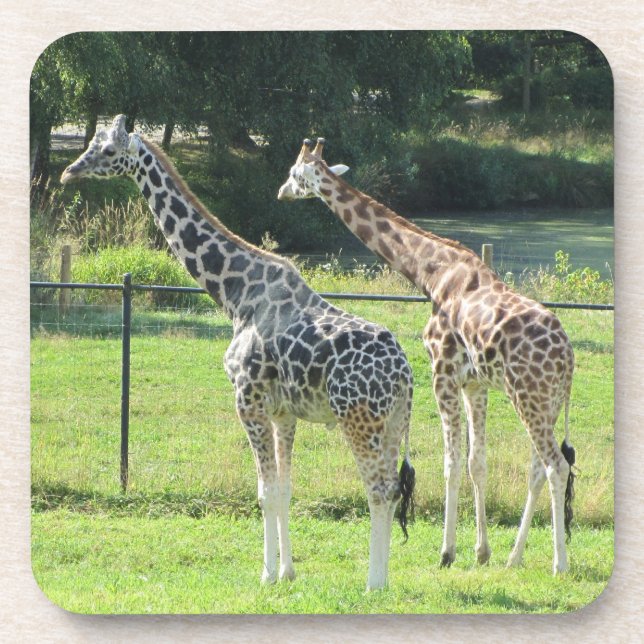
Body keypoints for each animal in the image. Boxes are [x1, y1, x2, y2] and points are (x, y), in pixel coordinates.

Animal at [60, 116, 416, 590]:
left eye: (107, 151)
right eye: (93, 143)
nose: (69, 173)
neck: (234, 294)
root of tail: (405, 373)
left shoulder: (247, 399)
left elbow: (264, 493)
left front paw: (266, 574)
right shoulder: (283, 412)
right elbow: (284, 490)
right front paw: (287, 571)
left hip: (358, 418)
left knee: (379, 488)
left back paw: (374, 583)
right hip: (393, 421)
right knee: (393, 488)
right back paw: (385, 578)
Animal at [277, 138, 576, 575]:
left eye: (294, 173)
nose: (281, 192)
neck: (431, 273)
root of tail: (568, 359)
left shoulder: (442, 371)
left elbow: (451, 463)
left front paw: (447, 552)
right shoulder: (475, 383)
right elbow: (476, 463)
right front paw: (481, 551)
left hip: (529, 397)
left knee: (557, 464)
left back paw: (559, 564)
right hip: (547, 402)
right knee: (538, 467)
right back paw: (514, 557)